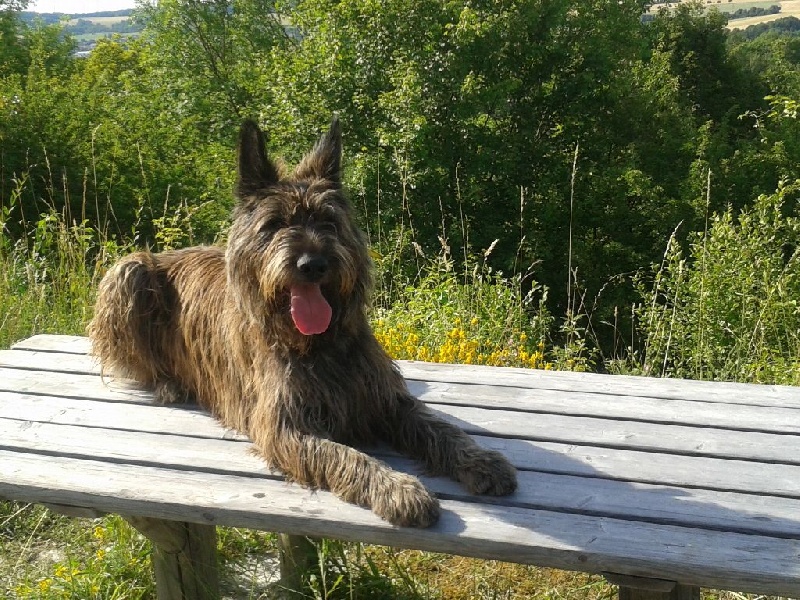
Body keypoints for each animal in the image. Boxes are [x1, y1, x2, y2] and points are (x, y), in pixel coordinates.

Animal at [88, 119, 517, 527]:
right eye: (275, 223)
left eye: (328, 221)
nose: (313, 264)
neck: (317, 345)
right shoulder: (285, 428)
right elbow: (346, 455)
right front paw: (398, 489)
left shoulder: (386, 401)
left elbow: (439, 428)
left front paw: (480, 460)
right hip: (128, 271)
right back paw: (169, 384)